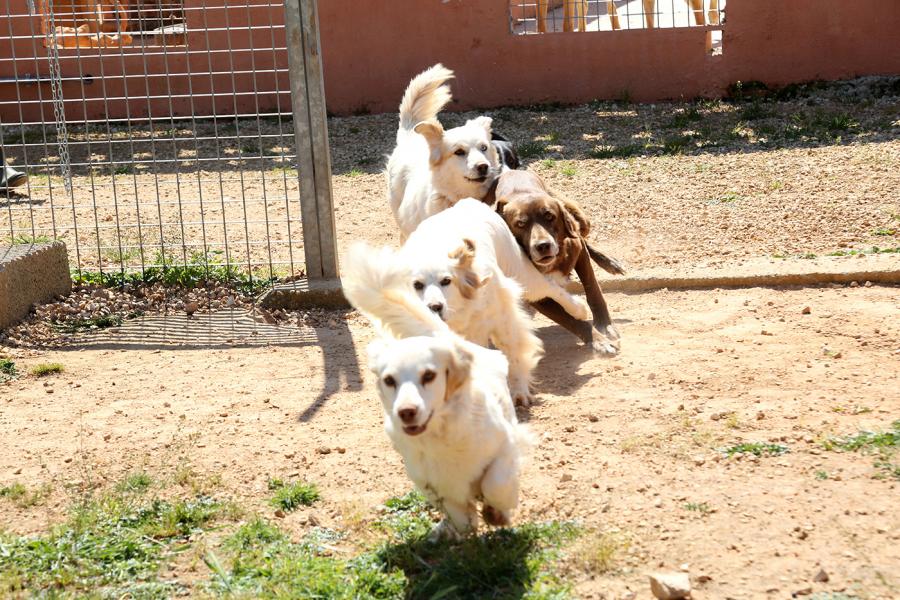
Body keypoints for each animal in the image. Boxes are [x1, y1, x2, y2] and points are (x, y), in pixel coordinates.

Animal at [342, 244, 532, 540]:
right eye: (389, 380)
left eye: (429, 376)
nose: (407, 411)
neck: (442, 436)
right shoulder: (428, 480)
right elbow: (459, 515)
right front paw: (461, 523)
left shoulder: (507, 445)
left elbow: (495, 484)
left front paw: (497, 512)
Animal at [400, 199, 592, 406]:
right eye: (417, 285)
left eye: (446, 281)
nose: (435, 307)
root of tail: (468, 202)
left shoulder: (504, 320)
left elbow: (514, 354)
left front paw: (519, 392)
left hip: (521, 272)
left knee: (548, 286)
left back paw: (579, 309)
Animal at [492, 169, 624, 354]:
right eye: (520, 224)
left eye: (549, 216)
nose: (543, 246)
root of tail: (511, 171)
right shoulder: (536, 293)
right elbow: (568, 320)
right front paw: (598, 340)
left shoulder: (579, 251)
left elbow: (593, 290)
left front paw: (605, 326)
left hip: (581, 219)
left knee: (582, 235)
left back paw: (610, 262)